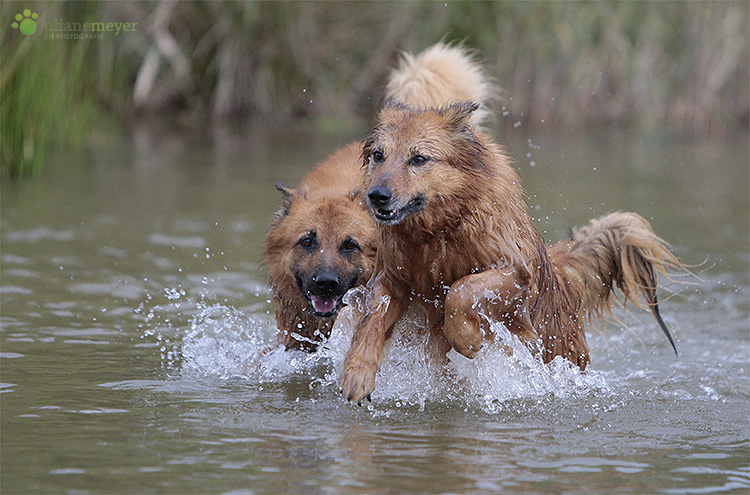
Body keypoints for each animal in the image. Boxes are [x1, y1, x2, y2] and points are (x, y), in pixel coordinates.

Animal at [340, 100, 680, 404]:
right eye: (378, 155)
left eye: (420, 158)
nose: (377, 195)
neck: (439, 234)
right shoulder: (393, 277)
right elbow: (372, 317)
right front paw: (357, 372)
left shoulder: (515, 273)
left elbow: (461, 289)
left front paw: (466, 337)